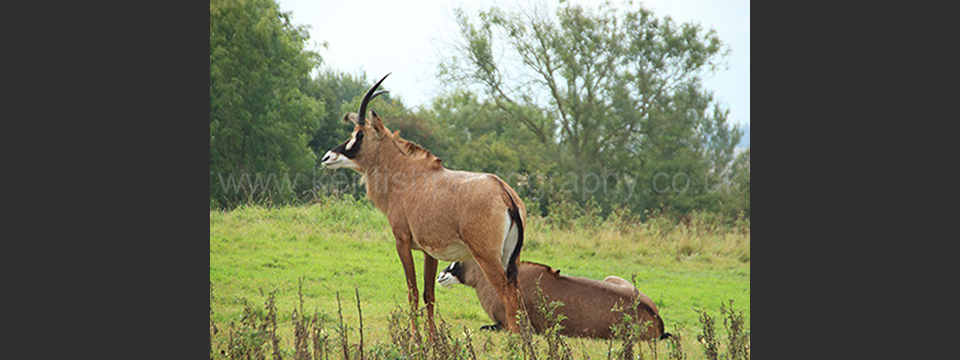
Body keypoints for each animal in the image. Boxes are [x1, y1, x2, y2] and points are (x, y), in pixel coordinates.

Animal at [318, 74, 524, 334]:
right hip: (510, 258)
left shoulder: (402, 242)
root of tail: (504, 193)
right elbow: (429, 294)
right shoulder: (430, 252)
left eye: (360, 134)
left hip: (487, 256)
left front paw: (415, 337)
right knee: (518, 293)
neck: (407, 175)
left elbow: (413, 292)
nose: (327, 157)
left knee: (508, 295)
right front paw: (433, 338)